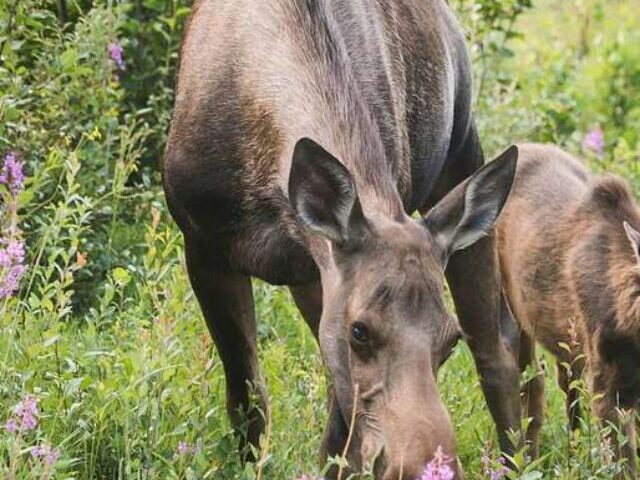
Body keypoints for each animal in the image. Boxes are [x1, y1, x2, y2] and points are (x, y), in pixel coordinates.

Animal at [164, 0, 520, 476]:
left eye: (449, 340)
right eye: (360, 331)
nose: (427, 465)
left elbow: (340, 439)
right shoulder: (203, 246)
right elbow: (248, 400)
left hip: (462, 152)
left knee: (497, 350)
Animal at [500, 143, 640, 476]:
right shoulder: (608, 383)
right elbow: (623, 462)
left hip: (566, 340)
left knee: (567, 387)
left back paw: (571, 457)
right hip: (513, 307)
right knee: (531, 380)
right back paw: (529, 460)